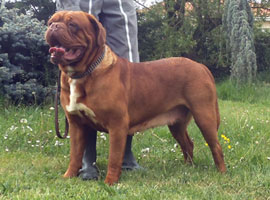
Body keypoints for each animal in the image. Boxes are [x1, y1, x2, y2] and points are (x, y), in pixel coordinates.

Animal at [46, 10, 226, 184]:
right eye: (50, 22)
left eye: (73, 25)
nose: (54, 26)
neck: (83, 74)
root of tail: (201, 66)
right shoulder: (76, 124)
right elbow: (75, 155)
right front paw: (68, 177)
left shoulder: (117, 124)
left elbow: (114, 158)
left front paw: (109, 182)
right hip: (177, 123)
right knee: (188, 144)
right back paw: (188, 168)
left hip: (204, 116)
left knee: (216, 147)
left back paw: (222, 173)